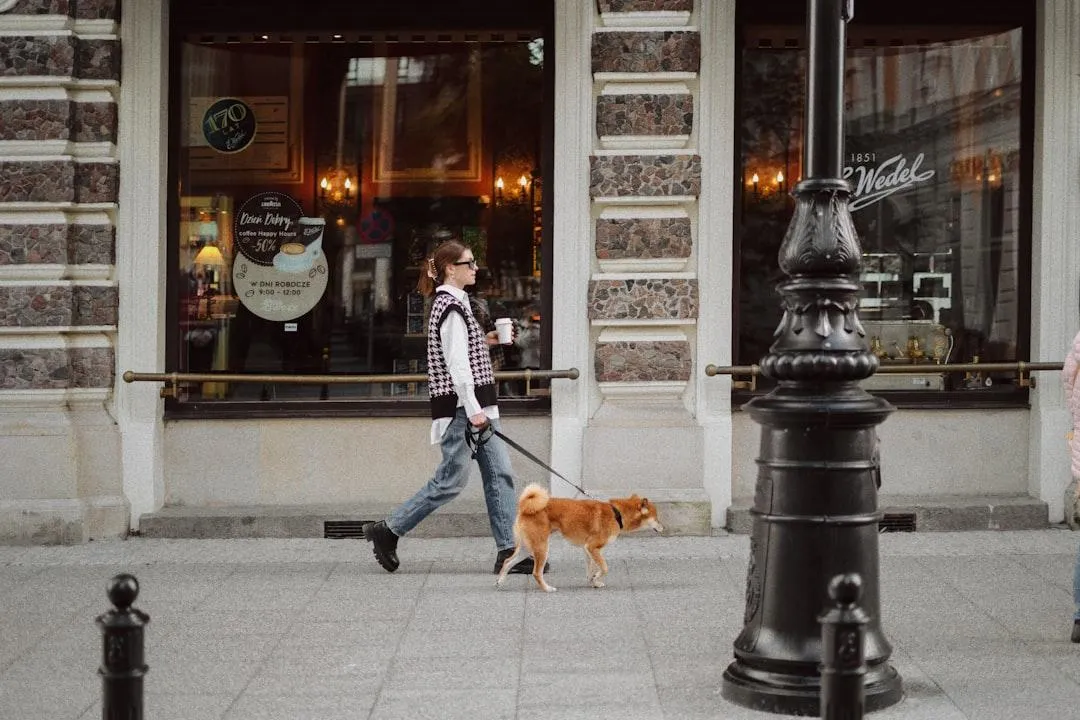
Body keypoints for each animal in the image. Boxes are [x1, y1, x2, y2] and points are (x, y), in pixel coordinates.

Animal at [494, 483, 660, 591]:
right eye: (657, 517)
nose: (662, 527)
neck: (616, 513)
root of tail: (525, 508)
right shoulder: (593, 547)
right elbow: (604, 568)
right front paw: (597, 578)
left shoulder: (588, 549)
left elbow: (591, 569)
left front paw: (593, 582)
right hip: (541, 548)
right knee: (536, 573)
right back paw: (547, 588)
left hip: (527, 548)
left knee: (507, 562)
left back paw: (500, 581)